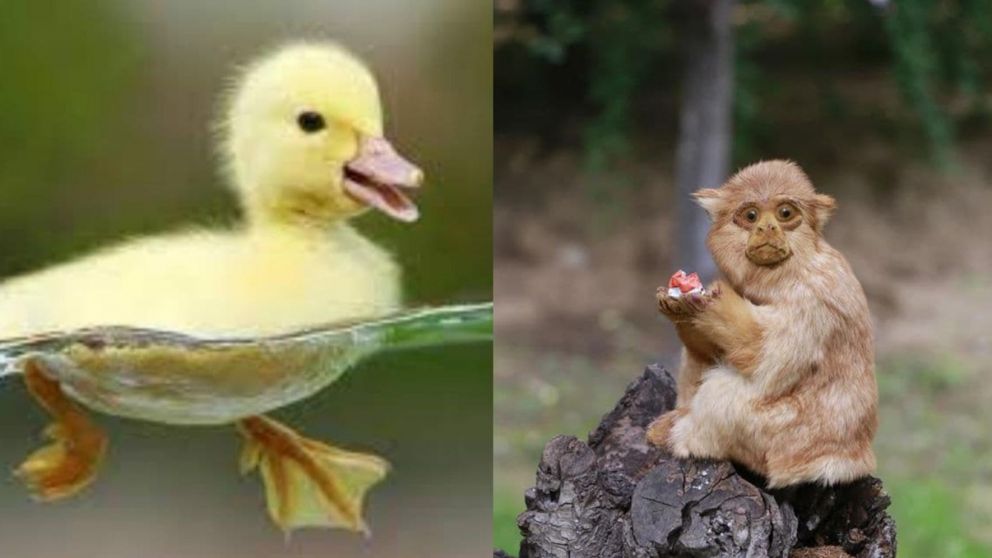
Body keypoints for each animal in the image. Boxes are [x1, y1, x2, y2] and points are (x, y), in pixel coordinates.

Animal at [647, 160, 877, 488]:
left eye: (785, 213)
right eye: (751, 215)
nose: (766, 227)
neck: (787, 270)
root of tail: (853, 462)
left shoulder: (814, 296)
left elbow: (767, 362)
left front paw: (709, 302)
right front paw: (681, 306)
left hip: (785, 445)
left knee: (723, 391)